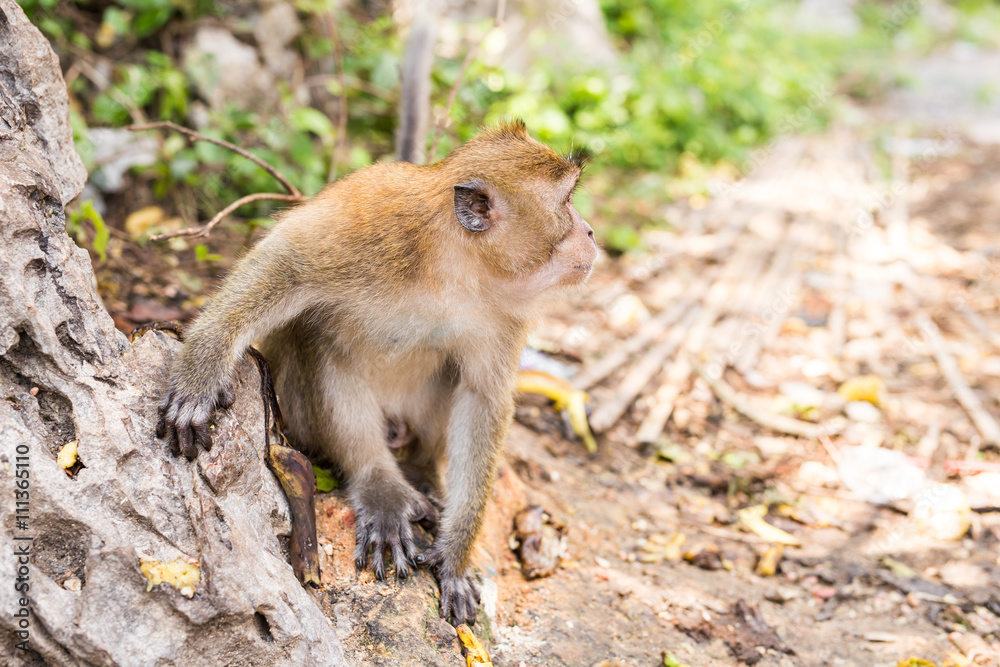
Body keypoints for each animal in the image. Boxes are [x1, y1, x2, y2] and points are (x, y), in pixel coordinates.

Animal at [159, 121, 598, 626]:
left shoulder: (504, 313)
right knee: (318, 340)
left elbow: (481, 398)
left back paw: (421, 474)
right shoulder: (375, 222)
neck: (457, 268)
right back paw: (380, 486)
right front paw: (202, 367)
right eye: (567, 200)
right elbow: (285, 262)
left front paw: (455, 554)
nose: (590, 230)